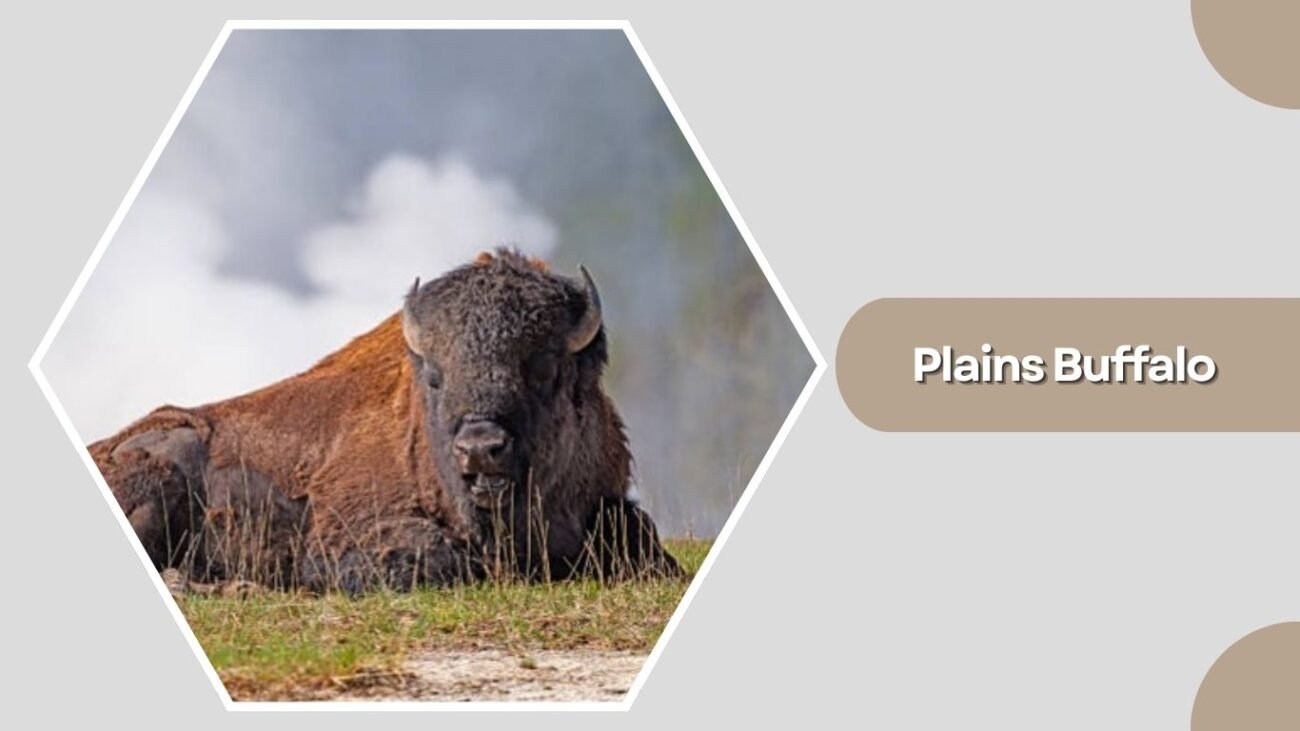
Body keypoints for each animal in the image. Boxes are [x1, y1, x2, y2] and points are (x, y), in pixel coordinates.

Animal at [89, 249, 680, 593]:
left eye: (545, 366)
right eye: (435, 376)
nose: (480, 448)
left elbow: (641, 538)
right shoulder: (347, 535)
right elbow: (440, 561)